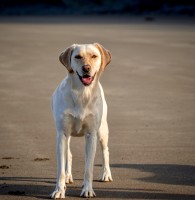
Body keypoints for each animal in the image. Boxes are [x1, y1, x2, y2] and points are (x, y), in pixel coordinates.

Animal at [50, 42, 112, 198]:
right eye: (77, 57)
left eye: (94, 56)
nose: (86, 68)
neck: (82, 94)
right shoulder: (62, 134)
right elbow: (60, 169)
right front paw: (59, 190)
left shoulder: (91, 135)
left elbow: (88, 168)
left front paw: (87, 189)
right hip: (67, 137)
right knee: (69, 154)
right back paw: (68, 177)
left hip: (102, 131)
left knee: (105, 151)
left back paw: (106, 174)